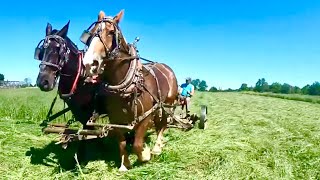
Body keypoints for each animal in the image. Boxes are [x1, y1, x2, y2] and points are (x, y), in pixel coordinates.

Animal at [80, 9, 180, 170]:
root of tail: (166, 67)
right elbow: (121, 143)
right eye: (92, 33)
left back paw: (157, 148)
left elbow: (138, 144)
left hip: (167, 104)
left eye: (111, 32)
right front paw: (124, 164)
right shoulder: (116, 119)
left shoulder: (145, 116)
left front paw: (145, 154)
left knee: (163, 125)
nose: (90, 64)